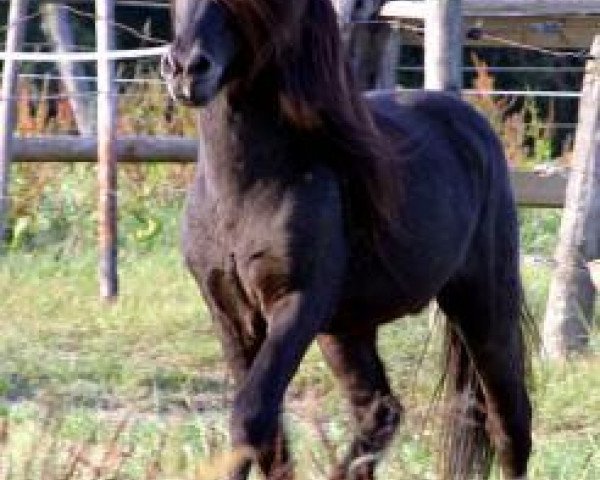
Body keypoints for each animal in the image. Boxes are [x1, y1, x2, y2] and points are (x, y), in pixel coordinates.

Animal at [162, 0, 532, 480]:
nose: (186, 69)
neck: (244, 191)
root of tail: (474, 125)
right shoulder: (228, 312)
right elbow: (267, 433)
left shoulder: (297, 304)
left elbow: (250, 417)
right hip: (346, 329)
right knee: (380, 411)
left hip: (482, 307)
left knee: (509, 422)